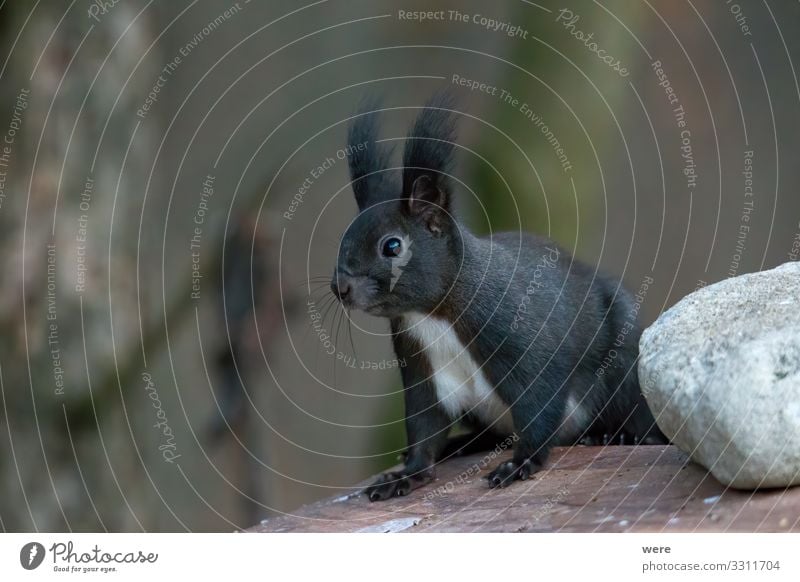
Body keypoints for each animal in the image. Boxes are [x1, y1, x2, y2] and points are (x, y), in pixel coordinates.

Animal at [328, 94, 664, 502]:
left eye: (392, 246)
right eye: (344, 237)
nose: (340, 287)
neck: (434, 315)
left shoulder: (522, 342)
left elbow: (538, 406)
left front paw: (520, 464)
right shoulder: (422, 372)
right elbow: (424, 427)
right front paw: (407, 474)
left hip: (624, 367)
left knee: (637, 421)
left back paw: (613, 434)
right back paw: (463, 444)